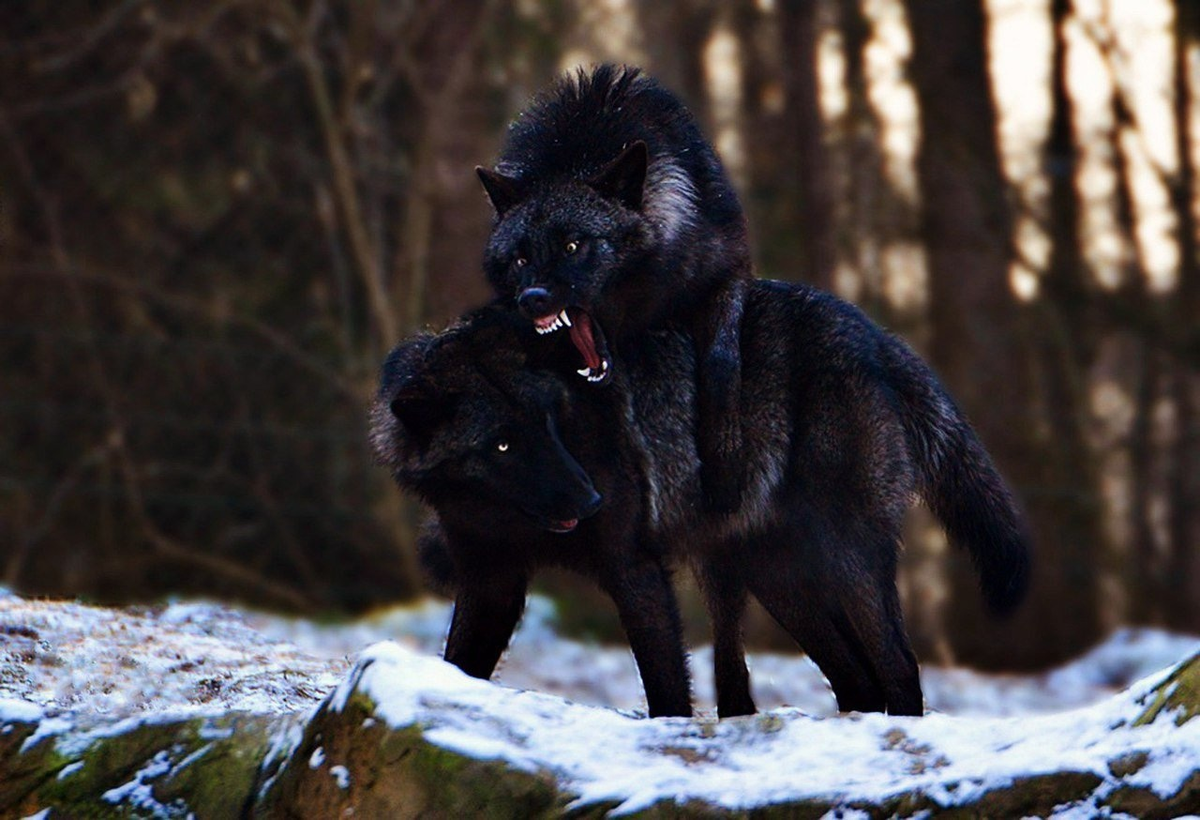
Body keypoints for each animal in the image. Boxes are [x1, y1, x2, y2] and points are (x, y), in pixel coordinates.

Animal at [372, 280, 1032, 720]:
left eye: (550, 423)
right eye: (504, 443)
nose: (590, 500)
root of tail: (875, 335)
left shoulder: (634, 568)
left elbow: (667, 690)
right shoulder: (490, 582)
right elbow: (460, 664)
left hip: (846, 566)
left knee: (900, 669)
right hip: (783, 587)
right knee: (859, 682)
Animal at [475, 62, 748, 513]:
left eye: (572, 245)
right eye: (520, 259)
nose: (532, 300)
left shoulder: (729, 269)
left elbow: (723, 357)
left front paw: (725, 462)